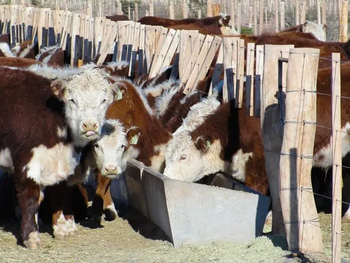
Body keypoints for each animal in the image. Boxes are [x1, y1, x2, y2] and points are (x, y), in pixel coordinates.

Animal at [0, 64, 118, 250]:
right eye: (72, 100)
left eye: (104, 100)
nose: (89, 125)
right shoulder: (27, 162)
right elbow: (31, 198)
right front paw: (31, 236)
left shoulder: (62, 164)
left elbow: (59, 194)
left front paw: (62, 228)